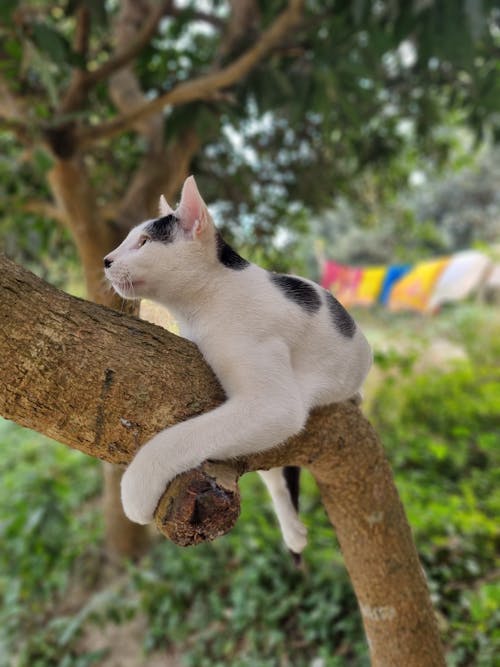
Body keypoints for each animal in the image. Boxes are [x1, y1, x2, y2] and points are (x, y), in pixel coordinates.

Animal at [104, 177, 372, 560]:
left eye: (143, 242)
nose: (106, 260)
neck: (206, 302)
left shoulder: (273, 404)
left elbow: (180, 437)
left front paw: (136, 488)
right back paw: (293, 532)